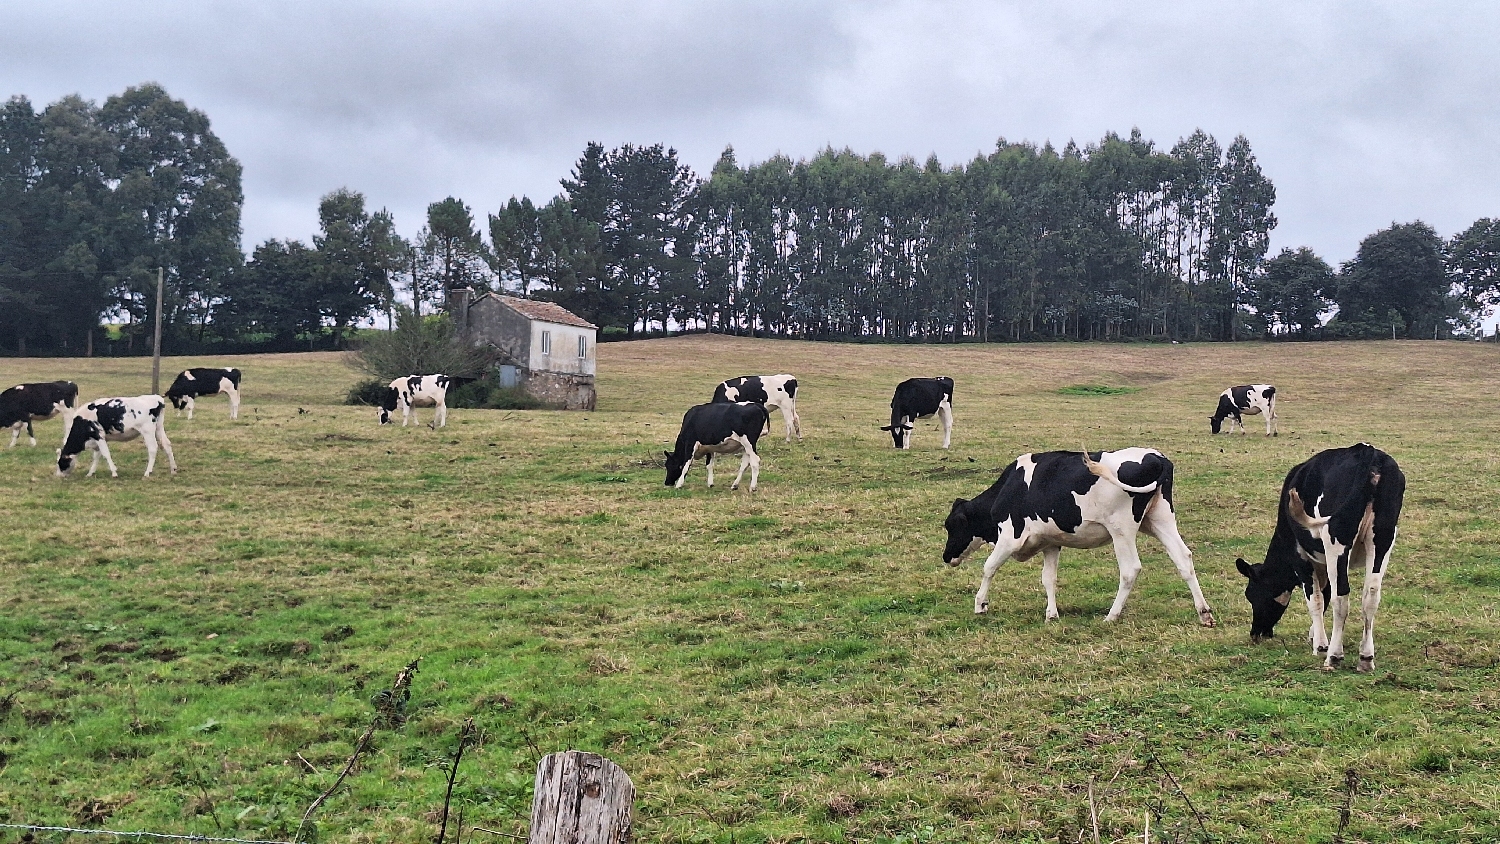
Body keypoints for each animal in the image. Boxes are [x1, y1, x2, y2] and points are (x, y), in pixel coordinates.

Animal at [936, 449, 1218, 626]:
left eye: (951, 525)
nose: (946, 556)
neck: (1008, 489)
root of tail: (1158, 458)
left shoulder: (1010, 537)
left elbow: (989, 568)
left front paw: (980, 605)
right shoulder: (1051, 543)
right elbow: (1048, 579)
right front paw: (1051, 614)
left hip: (1121, 529)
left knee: (1130, 569)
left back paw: (1111, 616)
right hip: (1160, 520)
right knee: (1184, 559)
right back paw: (1204, 613)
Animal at [1236, 443, 1398, 674]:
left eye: (1250, 594)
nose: (1255, 633)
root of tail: (1368, 452)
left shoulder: (1300, 557)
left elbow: (1316, 599)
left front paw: (1320, 645)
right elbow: (1325, 594)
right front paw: (1315, 636)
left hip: (1336, 539)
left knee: (1342, 598)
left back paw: (1334, 656)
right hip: (1383, 539)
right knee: (1371, 595)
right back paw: (1366, 658)